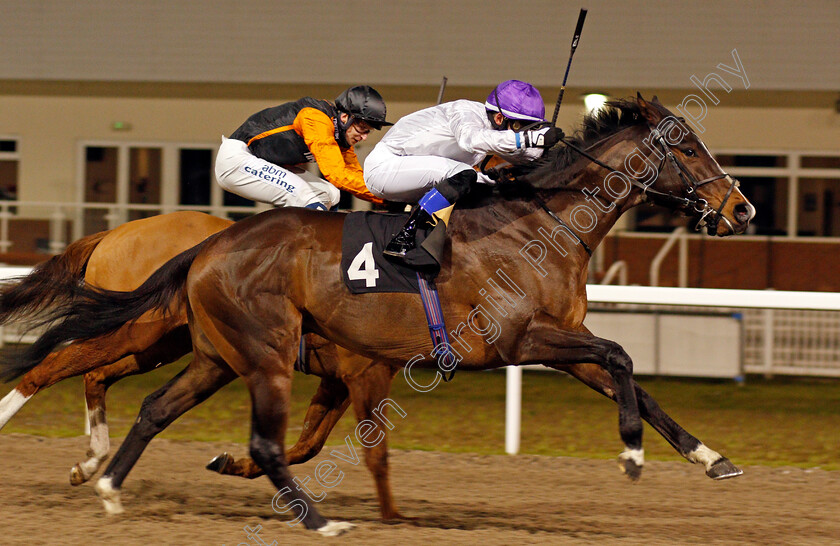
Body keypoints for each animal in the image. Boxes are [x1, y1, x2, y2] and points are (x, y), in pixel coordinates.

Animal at [4, 95, 756, 532]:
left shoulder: (555, 341)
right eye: (686, 146)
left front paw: (711, 457)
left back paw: (104, 481)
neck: (541, 224)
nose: (743, 208)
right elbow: (622, 357)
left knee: (137, 398)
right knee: (65, 367)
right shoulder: (518, 339)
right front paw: (629, 454)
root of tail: (203, 246)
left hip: (203, 352)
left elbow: (635, 382)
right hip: (215, 346)